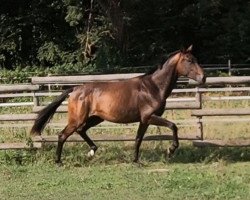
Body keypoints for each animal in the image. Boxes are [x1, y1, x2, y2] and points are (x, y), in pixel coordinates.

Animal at [30, 45, 205, 164]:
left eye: (195, 59)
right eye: (189, 60)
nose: (203, 77)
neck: (153, 87)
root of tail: (75, 89)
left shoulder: (144, 120)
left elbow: (138, 139)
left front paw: (136, 161)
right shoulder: (150, 116)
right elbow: (173, 126)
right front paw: (170, 150)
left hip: (95, 118)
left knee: (81, 131)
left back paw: (92, 151)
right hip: (77, 119)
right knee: (63, 135)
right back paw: (58, 161)